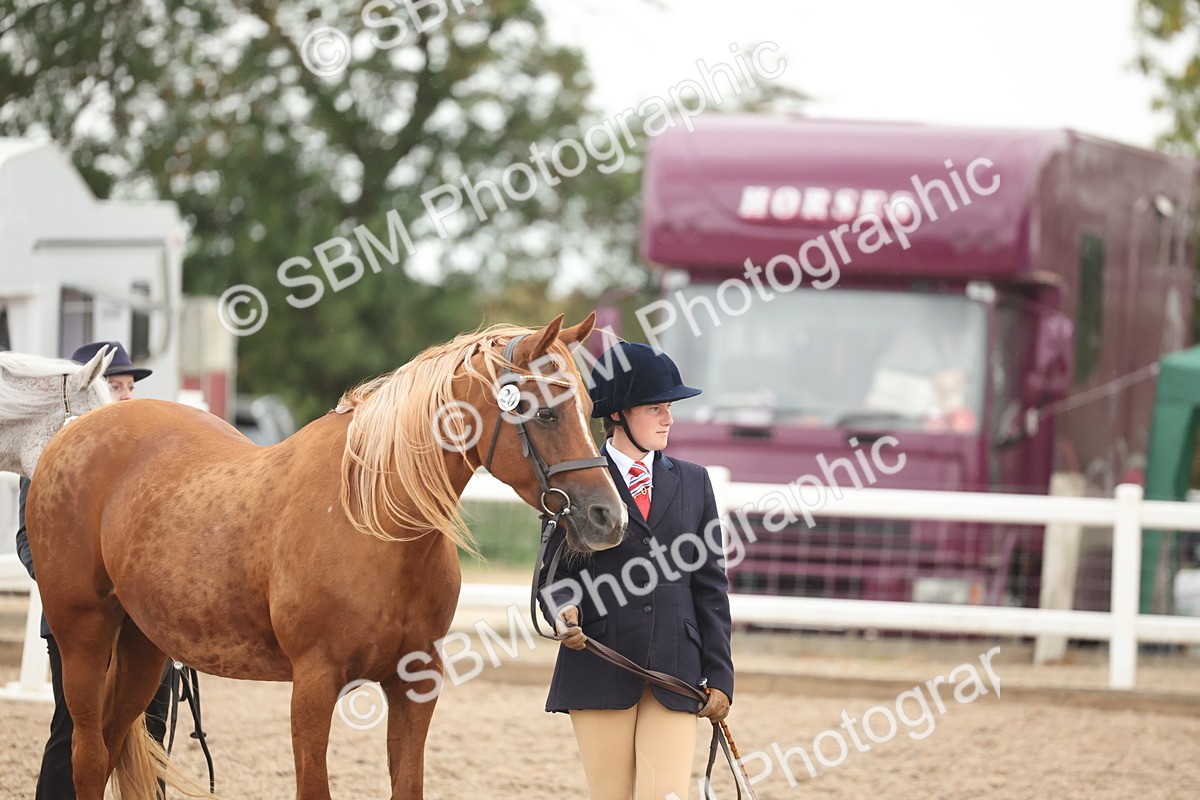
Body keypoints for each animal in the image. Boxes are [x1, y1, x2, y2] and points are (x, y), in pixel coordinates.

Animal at [25, 313, 627, 799]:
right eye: (545, 413)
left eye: (590, 409)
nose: (608, 518)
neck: (373, 522)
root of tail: (70, 436)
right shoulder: (313, 687)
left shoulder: (415, 683)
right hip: (83, 639)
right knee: (87, 757)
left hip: (144, 649)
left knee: (109, 747)